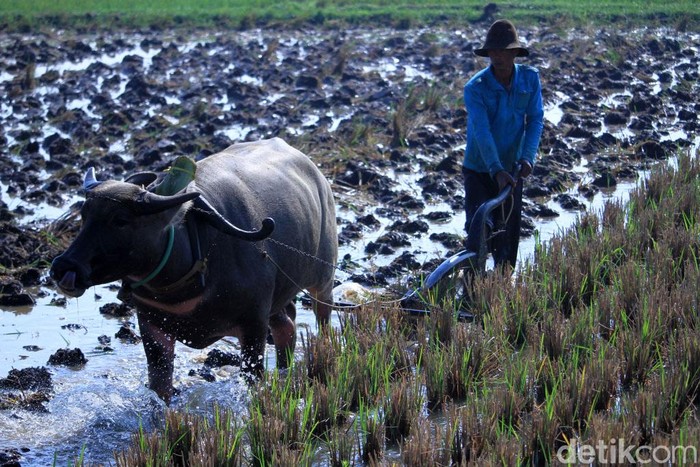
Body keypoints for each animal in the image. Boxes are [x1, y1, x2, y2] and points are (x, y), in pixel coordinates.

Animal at [47, 137, 338, 404]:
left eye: (120, 220)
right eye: (85, 215)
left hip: (323, 278)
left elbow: (252, 377)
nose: (63, 268)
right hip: (278, 298)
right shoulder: (152, 326)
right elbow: (160, 384)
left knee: (322, 317)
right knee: (286, 325)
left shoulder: (254, 325)